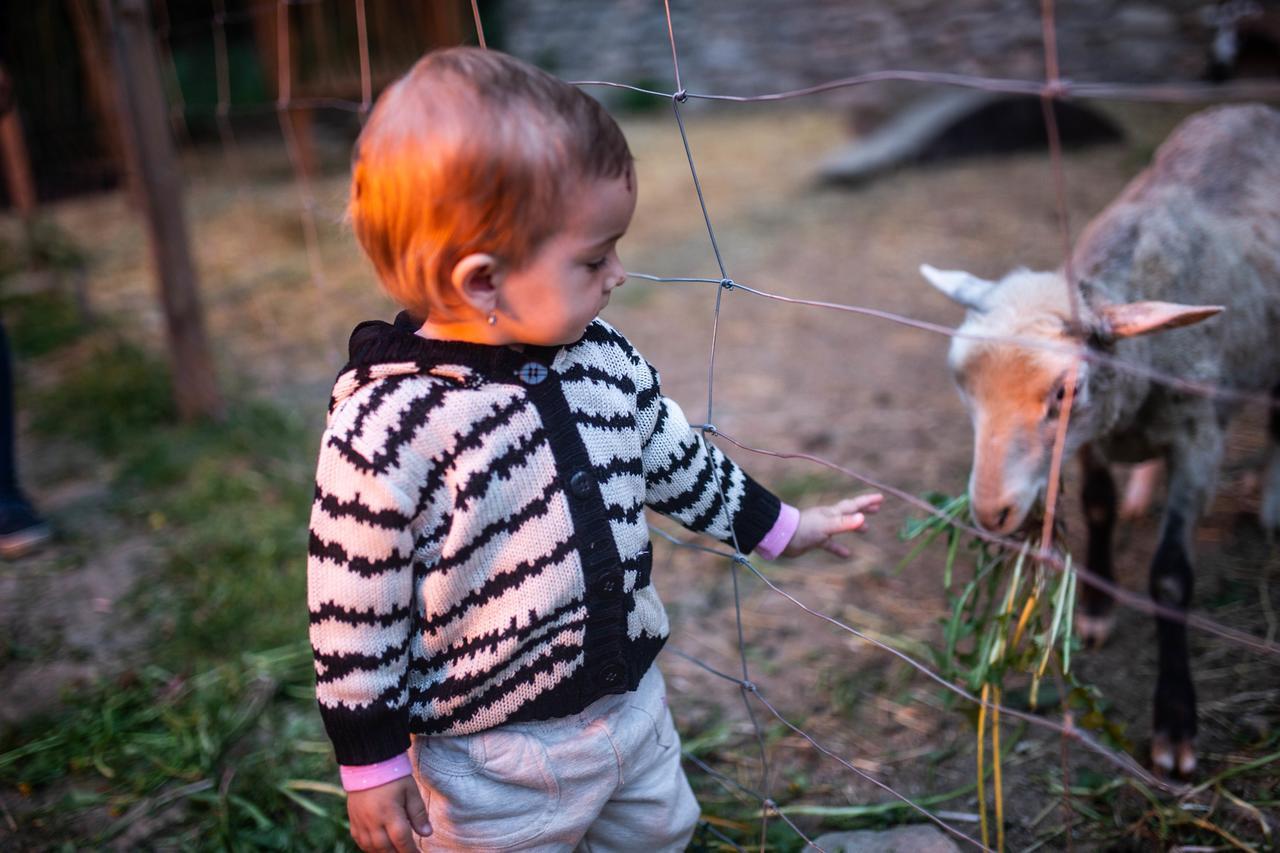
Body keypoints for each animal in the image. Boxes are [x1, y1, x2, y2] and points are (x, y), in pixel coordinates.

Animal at [921, 103, 1280, 773]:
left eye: (1065, 392)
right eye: (959, 380)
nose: (990, 513)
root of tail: (1250, 109)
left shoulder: (1199, 442)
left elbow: (1170, 577)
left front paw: (1174, 726)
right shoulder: (1090, 441)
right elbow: (1096, 508)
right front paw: (1093, 608)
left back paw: (1272, 504)